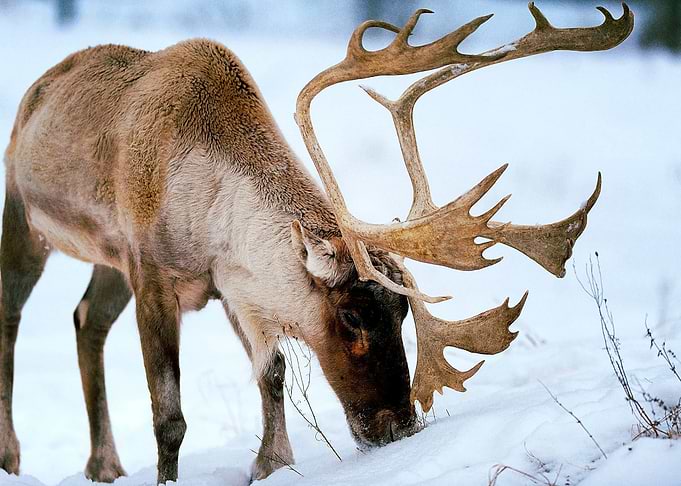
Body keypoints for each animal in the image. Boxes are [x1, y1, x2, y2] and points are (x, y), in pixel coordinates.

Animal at [0, 3, 633, 484]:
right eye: (351, 315)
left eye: (403, 311)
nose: (398, 426)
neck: (207, 204)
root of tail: (37, 88)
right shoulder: (153, 273)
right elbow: (170, 417)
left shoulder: (233, 286)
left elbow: (272, 371)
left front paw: (270, 462)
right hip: (25, 217)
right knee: (12, 316)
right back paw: (13, 454)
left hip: (106, 261)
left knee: (86, 319)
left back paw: (103, 465)